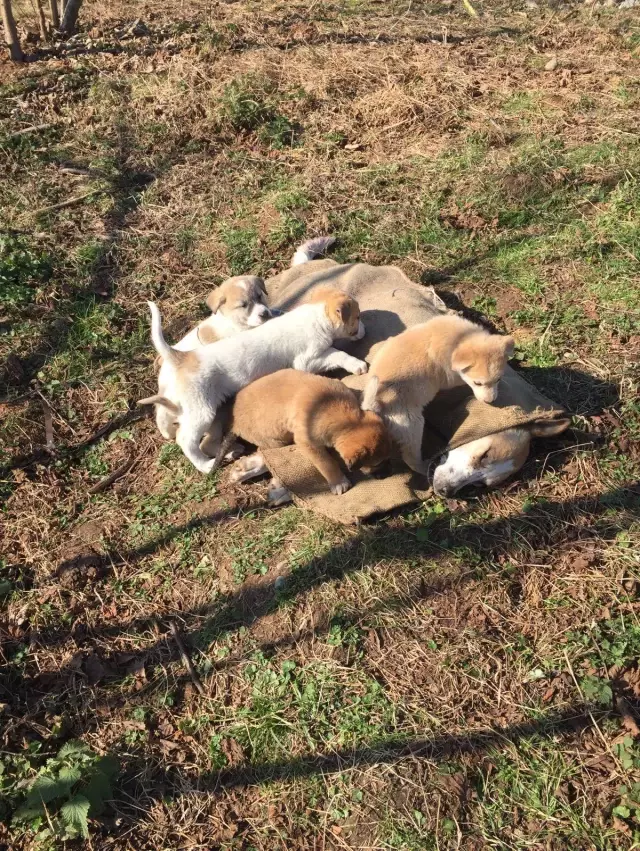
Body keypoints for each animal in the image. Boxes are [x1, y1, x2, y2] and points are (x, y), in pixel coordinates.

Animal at [144, 290, 364, 476]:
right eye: (358, 317)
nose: (364, 328)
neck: (316, 315)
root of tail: (182, 357)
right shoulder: (306, 361)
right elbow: (337, 353)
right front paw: (357, 364)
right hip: (201, 410)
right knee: (185, 440)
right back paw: (206, 465)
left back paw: (229, 452)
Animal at [215, 370, 390, 496]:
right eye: (377, 463)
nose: (386, 476)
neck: (347, 420)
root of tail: (234, 423)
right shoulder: (307, 443)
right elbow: (326, 463)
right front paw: (338, 482)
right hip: (276, 439)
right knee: (263, 452)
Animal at [360, 314, 516, 476]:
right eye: (477, 383)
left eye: (498, 379)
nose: (490, 401)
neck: (460, 339)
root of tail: (374, 404)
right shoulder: (452, 378)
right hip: (412, 426)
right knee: (411, 459)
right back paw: (425, 467)